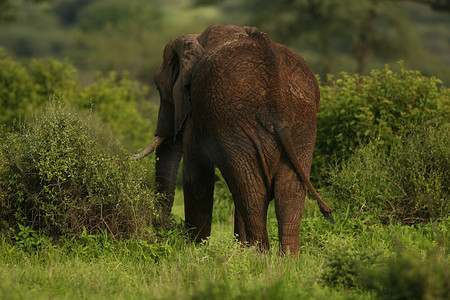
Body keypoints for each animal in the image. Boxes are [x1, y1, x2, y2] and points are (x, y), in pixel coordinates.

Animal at [134, 24, 334, 255]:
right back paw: (287, 259)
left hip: (238, 123)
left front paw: (196, 250)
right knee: (285, 189)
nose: (162, 235)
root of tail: (277, 99)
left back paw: (259, 256)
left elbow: (197, 178)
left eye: (158, 88)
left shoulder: (196, 109)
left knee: (252, 190)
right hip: (301, 126)